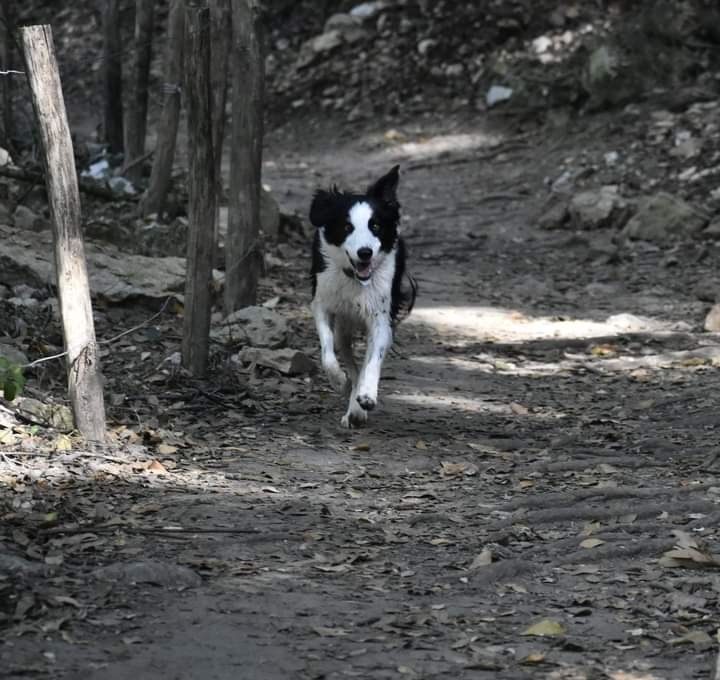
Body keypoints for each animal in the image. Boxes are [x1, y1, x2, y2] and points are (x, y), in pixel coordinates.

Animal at [309, 165, 416, 428]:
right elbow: (327, 352)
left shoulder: (380, 317)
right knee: (348, 358)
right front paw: (338, 380)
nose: (365, 253)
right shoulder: (323, 304)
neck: (355, 280)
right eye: (347, 227)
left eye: (375, 226)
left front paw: (366, 395)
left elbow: (373, 359)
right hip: (343, 327)